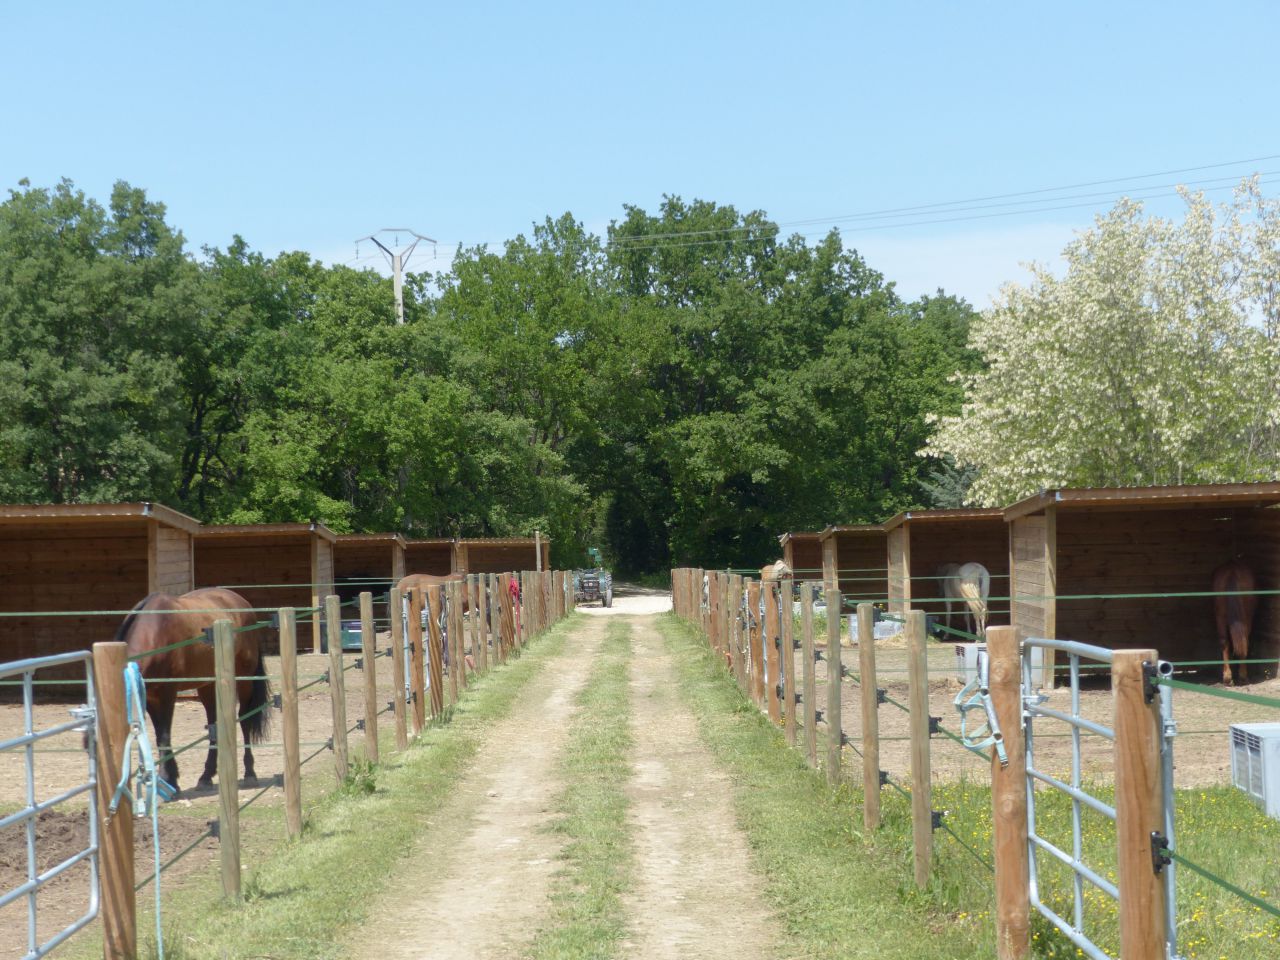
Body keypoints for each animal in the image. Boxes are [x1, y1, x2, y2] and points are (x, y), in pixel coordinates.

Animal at [118, 588, 270, 795]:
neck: (154, 632)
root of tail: (243, 603)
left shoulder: (167, 693)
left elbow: (164, 735)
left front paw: (169, 780)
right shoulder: (149, 697)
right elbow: (159, 735)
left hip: (244, 680)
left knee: (245, 720)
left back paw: (250, 774)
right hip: (208, 686)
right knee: (214, 724)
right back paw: (206, 776)